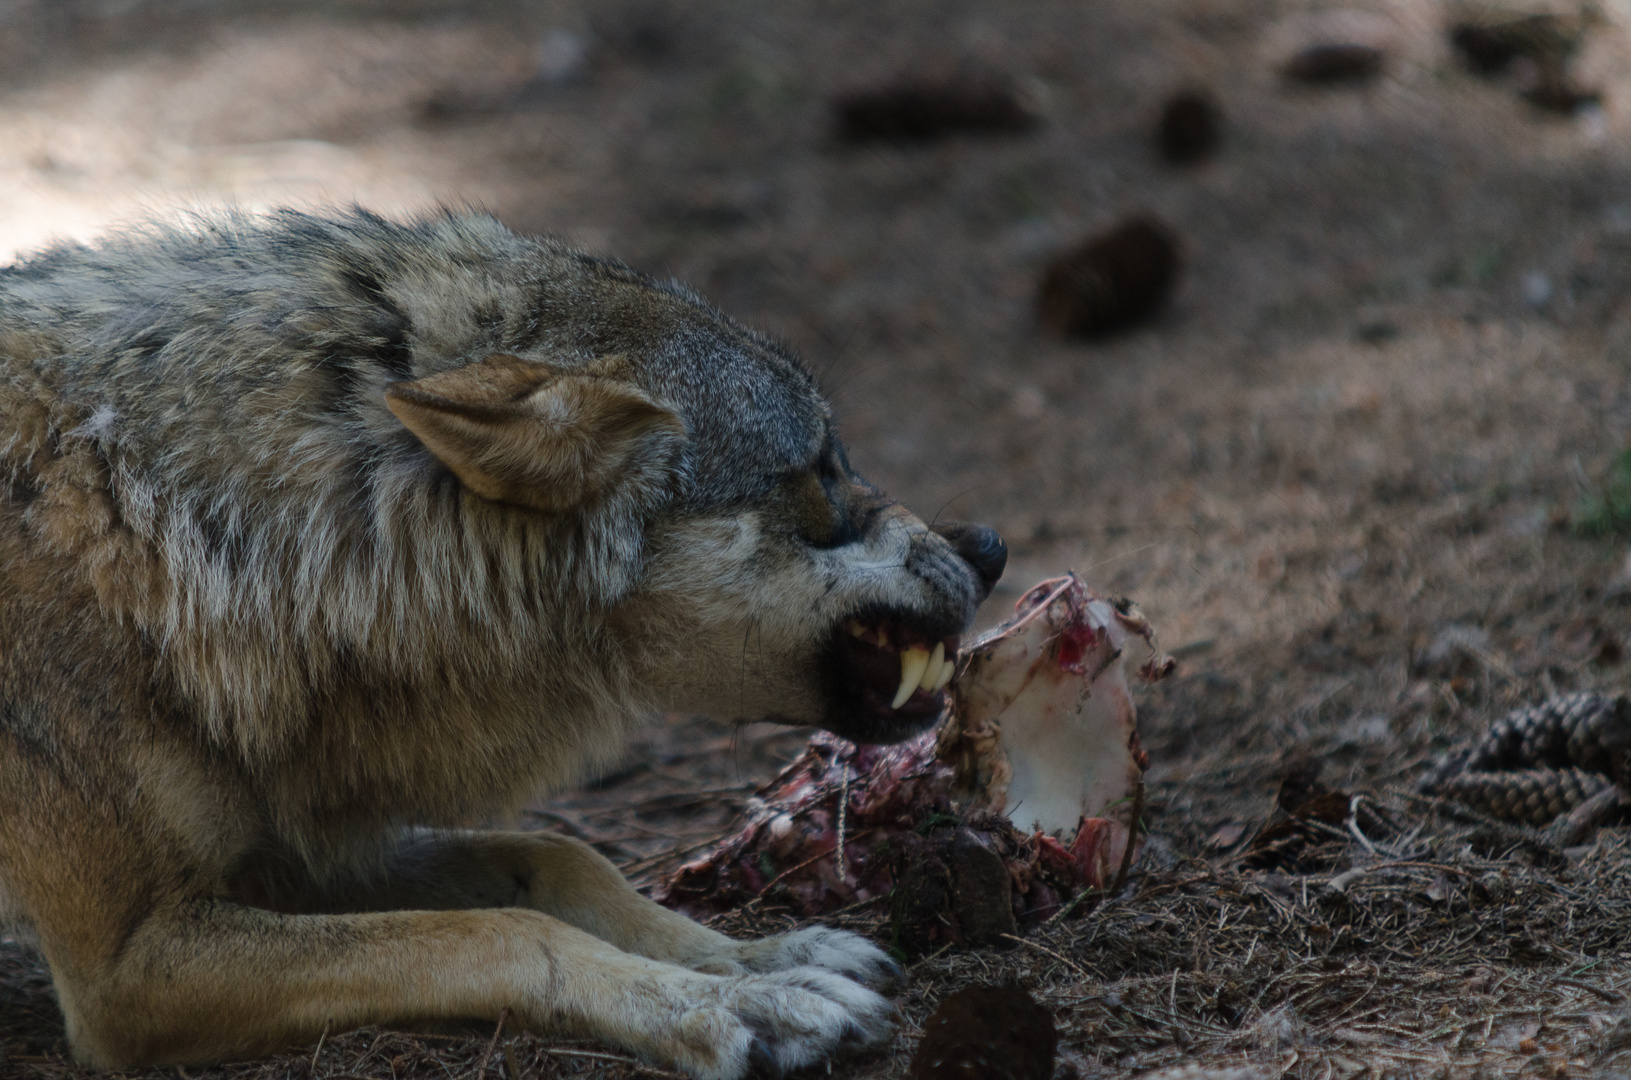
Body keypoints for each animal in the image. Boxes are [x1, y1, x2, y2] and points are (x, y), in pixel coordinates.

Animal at [0, 207, 1004, 1076]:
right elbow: (500, 929)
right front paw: (732, 1008)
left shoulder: (286, 858)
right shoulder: (126, 973)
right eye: (823, 470)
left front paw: (763, 960)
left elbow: (559, 859)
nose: (991, 548)